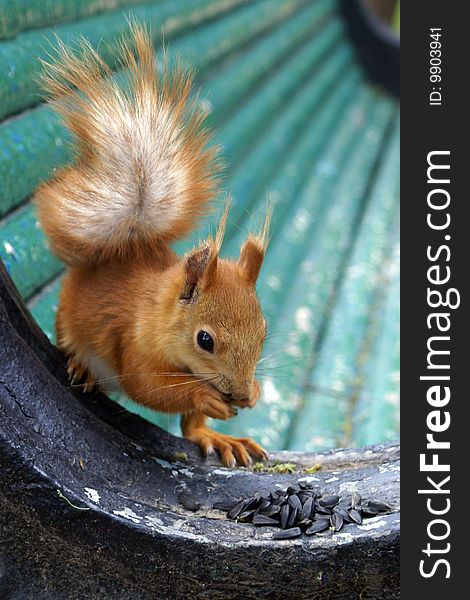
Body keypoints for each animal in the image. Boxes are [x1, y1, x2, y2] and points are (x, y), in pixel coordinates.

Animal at [35, 24, 272, 468]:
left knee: (191, 429)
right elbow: (147, 385)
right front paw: (204, 396)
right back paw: (83, 368)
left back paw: (214, 436)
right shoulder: (133, 341)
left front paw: (250, 397)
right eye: (205, 340)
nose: (238, 392)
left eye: (264, 332)